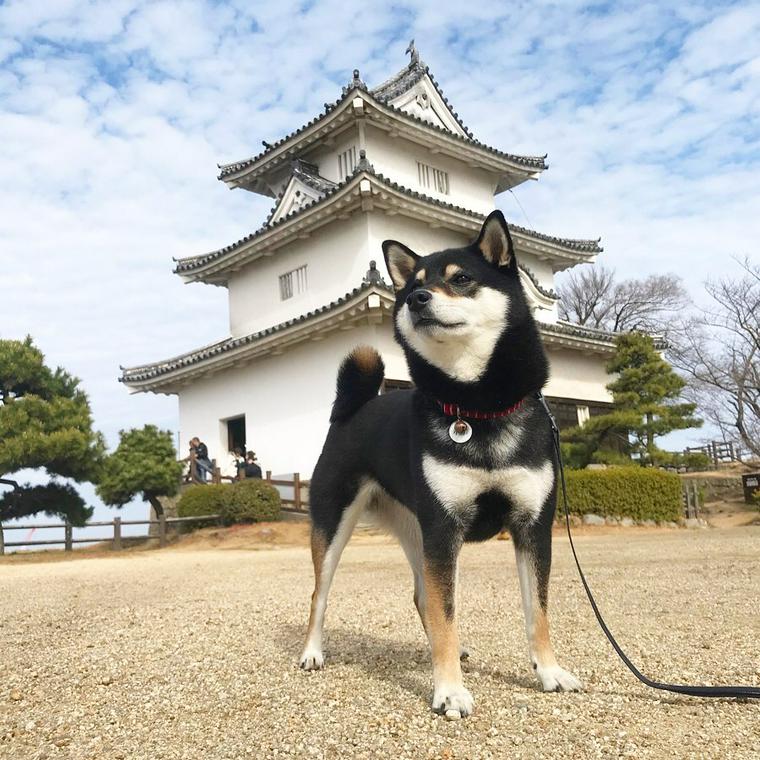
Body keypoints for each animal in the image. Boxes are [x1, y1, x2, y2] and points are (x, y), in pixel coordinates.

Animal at [300, 209, 580, 720]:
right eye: (413, 286)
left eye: (461, 279)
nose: (417, 300)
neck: (477, 407)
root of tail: (354, 409)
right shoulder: (444, 530)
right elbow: (446, 612)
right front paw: (449, 691)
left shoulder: (532, 526)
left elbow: (537, 612)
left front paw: (549, 672)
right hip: (338, 525)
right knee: (320, 594)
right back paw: (312, 652)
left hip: (417, 530)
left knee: (421, 596)